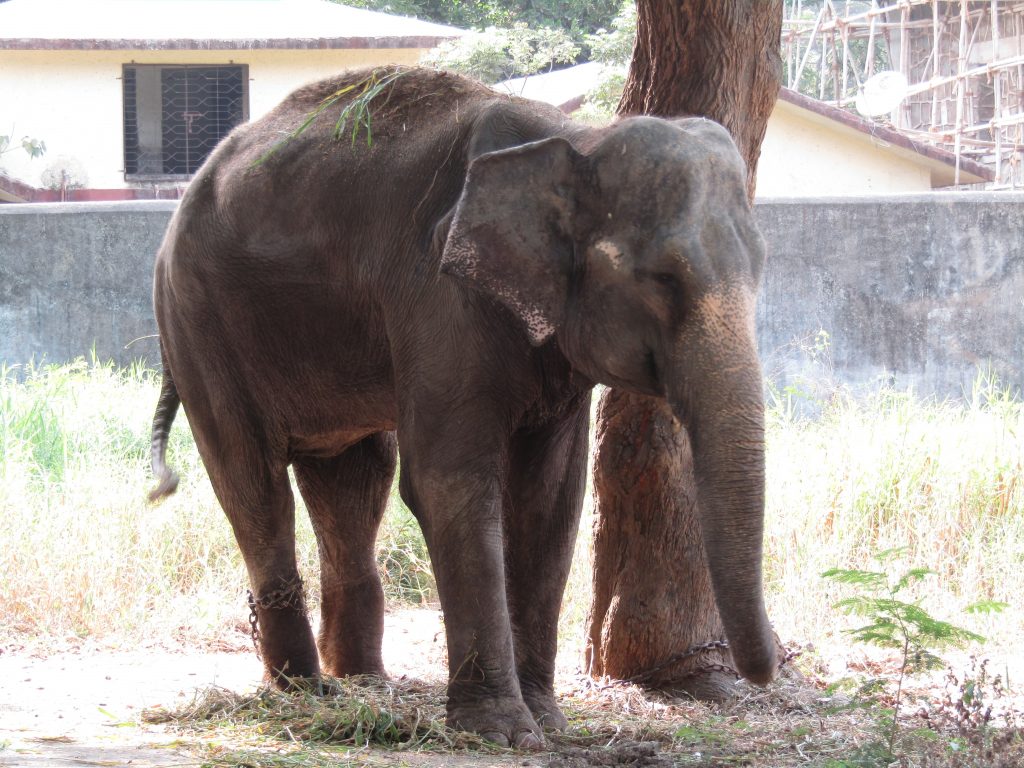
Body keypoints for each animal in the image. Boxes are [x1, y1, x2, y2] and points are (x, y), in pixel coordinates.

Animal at [149, 66, 774, 753]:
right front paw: (501, 733)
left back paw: (362, 683)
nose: (762, 673)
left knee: (353, 477)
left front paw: (547, 723)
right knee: (252, 481)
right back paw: (304, 692)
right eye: (662, 278)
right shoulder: (439, 293)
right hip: (198, 322)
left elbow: (551, 496)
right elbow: (448, 482)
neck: (577, 136)